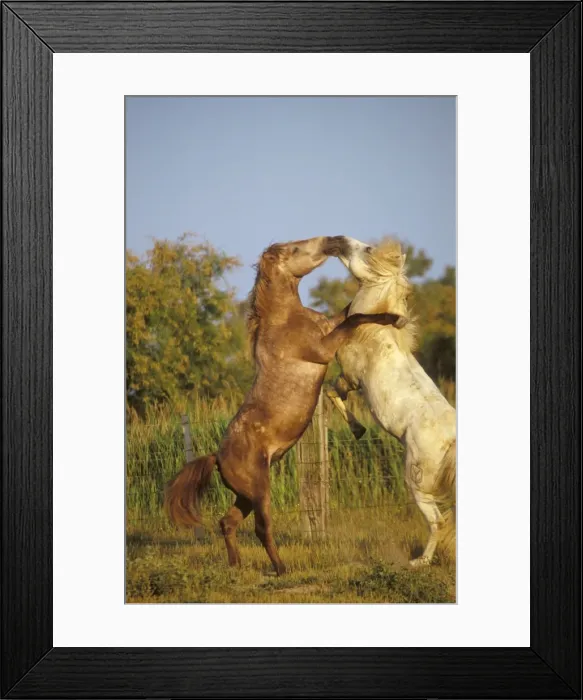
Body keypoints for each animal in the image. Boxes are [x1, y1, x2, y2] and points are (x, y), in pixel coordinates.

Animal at [164, 236, 407, 575]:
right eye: (294, 249)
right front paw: (395, 318)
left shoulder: (329, 326)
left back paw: (236, 566)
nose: (332, 241)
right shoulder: (324, 348)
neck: (286, 320)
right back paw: (280, 568)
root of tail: (217, 457)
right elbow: (355, 318)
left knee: (227, 523)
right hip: (260, 493)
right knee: (261, 529)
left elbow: (349, 311)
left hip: (245, 497)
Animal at [327, 236, 456, 567]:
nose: (338, 240)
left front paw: (357, 429)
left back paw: (420, 562)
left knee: (438, 521)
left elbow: (332, 392)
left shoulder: (349, 377)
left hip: (416, 481)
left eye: (367, 249)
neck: (373, 329)